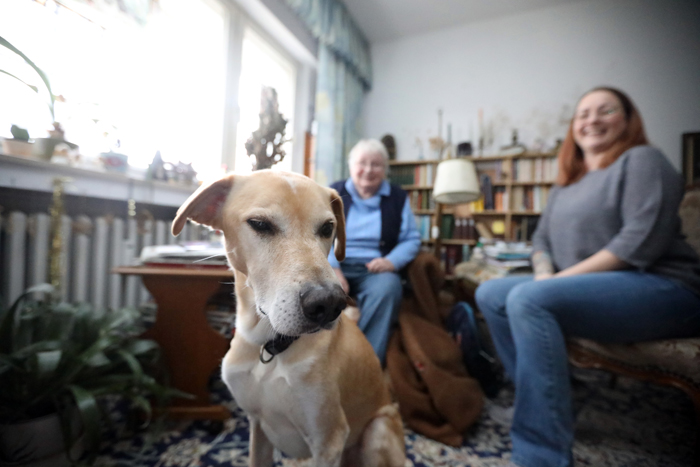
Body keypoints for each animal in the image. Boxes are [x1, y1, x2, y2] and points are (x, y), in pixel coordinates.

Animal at [172, 170, 405, 467]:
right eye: (260, 224)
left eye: (327, 227)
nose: (329, 304)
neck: (268, 345)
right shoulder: (257, 426)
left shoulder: (328, 439)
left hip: (378, 429)